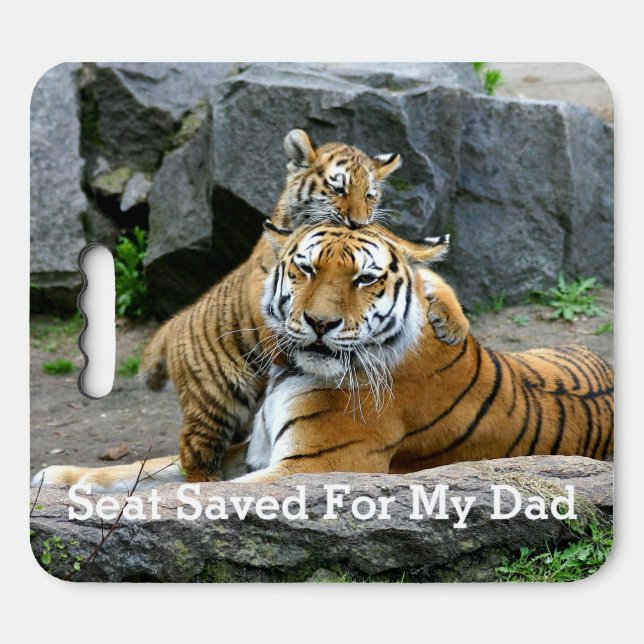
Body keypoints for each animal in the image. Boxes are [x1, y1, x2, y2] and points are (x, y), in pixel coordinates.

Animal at [32, 130, 469, 489]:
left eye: (371, 194)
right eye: (338, 188)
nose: (360, 221)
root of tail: (172, 325)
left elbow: (430, 278)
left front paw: (451, 323)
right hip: (215, 400)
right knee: (195, 454)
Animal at [33, 223, 613, 491]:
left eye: (365, 279)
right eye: (307, 268)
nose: (319, 323)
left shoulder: (313, 466)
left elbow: (192, 496)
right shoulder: (249, 450)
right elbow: (145, 467)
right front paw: (60, 478)